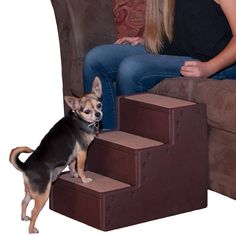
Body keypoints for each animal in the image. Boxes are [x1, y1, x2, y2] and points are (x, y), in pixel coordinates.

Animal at [9, 77, 102, 232]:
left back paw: (23, 217)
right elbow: (81, 168)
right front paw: (83, 179)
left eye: (99, 105)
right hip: (43, 194)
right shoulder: (83, 152)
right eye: (87, 111)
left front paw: (73, 175)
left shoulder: (74, 154)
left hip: (32, 191)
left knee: (24, 201)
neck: (80, 119)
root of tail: (26, 167)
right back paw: (31, 230)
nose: (98, 114)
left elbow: (72, 165)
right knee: (34, 211)